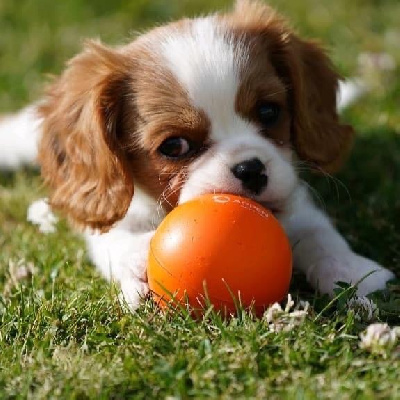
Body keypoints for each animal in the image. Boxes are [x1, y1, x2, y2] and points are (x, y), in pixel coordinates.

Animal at [0, 0, 394, 310]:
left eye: (269, 112)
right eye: (174, 146)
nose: (251, 169)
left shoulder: (295, 199)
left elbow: (318, 232)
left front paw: (351, 269)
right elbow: (113, 239)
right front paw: (138, 257)